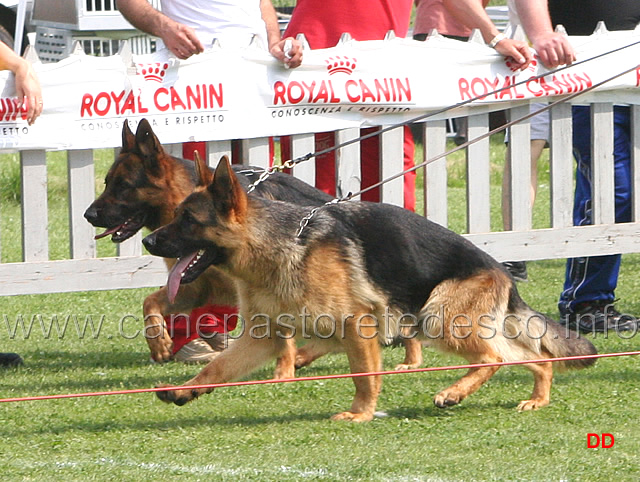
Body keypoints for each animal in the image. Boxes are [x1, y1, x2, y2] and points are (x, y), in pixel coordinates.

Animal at [85, 117, 424, 372]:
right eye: (107, 183)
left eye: (123, 186)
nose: (89, 215)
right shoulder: (200, 288)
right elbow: (150, 303)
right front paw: (159, 342)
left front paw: (283, 371)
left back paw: (409, 360)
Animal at [142, 159, 596, 422]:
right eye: (176, 214)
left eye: (188, 220)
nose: (147, 242)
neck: (276, 243)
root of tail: (500, 269)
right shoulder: (264, 336)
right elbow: (217, 369)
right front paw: (187, 390)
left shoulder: (356, 326)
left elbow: (363, 377)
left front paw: (361, 414)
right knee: (534, 357)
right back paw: (537, 398)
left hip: (438, 319)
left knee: (494, 358)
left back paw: (452, 393)